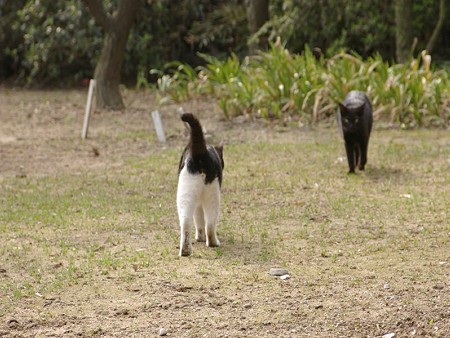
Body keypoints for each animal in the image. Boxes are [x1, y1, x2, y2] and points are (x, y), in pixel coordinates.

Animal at [177, 113, 224, 256]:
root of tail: (200, 152)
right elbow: (200, 220)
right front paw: (201, 238)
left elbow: (198, 219)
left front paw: (200, 237)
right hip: (213, 193)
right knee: (210, 223)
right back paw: (213, 242)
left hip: (186, 193)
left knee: (187, 221)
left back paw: (186, 250)